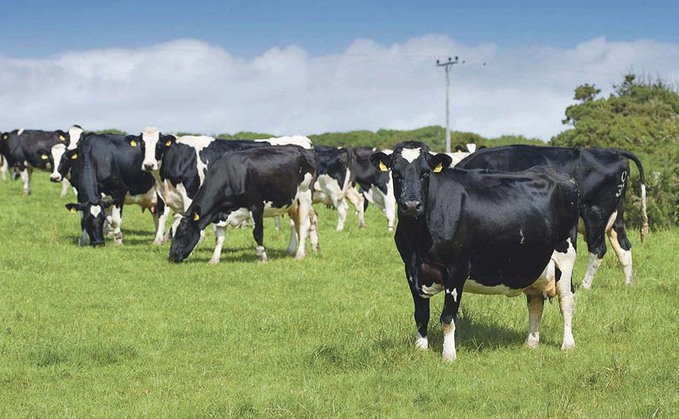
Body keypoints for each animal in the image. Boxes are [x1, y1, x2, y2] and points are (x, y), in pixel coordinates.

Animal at [170, 146, 318, 264]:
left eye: (182, 233)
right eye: (171, 233)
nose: (171, 257)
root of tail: (304, 150)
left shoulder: (256, 206)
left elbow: (257, 233)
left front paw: (263, 258)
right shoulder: (221, 214)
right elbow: (219, 238)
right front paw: (214, 259)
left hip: (305, 195)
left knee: (304, 224)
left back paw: (299, 254)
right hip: (292, 204)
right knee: (297, 224)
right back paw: (301, 251)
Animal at [370, 143, 580, 362]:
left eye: (425, 173)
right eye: (396, 173)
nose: (411, 205)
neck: (417, 242)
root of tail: (554, 173)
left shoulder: (456, 269)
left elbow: (448, 317)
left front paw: (448, 355)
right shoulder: (411, 269)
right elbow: (421, 314)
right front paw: (420, 349)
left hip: (566, 255)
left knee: (566, 299)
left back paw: (568, 344)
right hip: (534, 263)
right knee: (536, 303)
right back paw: (531, 343)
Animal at [454, 144, 652, 288]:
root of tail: (612, 152)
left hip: (596, 212)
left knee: (598, 249)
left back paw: (585, 286)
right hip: (615, 215)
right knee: (623, 246)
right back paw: (628, 284)